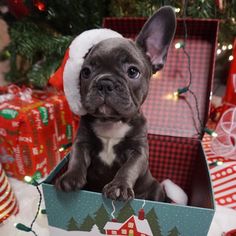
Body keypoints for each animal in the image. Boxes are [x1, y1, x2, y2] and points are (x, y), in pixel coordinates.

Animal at [56, 6, 176, 202]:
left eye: (133, 72)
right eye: (85, 72)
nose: (105, 83)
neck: (111, 122)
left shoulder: (138, 152)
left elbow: (128, 168)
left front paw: (118, 187)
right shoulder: (82, 142)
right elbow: (77, 157)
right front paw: (70, 177)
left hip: (156, 188)